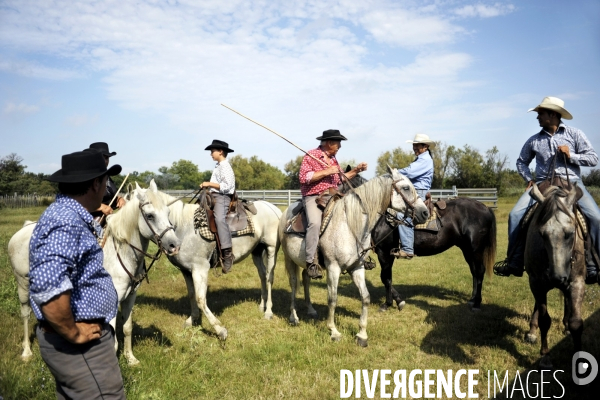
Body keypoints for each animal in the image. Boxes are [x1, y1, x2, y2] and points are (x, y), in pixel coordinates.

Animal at [7, 181, 180, 366]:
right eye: (150, 216)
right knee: (25, 314)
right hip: (22, 284)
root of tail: (23, 229)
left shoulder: (130, 297)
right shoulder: (111, 302)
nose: (174, 246)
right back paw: (26, 351)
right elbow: (113, 341)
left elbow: (127, 328)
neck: (121, 252)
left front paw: (131, 358)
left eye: (168, 212)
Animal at [157, 191, 284, 340]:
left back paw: (268, 312)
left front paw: (219, 330)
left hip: (271, 248)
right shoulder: (186, 270)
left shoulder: (200, 269)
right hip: (257, 251)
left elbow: (201, 299)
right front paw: (191, 320)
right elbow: (192, 295)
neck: (184, 227)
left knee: (270, 277)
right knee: (263, 275)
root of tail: (273, 207)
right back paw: (261, 306)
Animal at [278, 167, 428, 346]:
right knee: (294, 284)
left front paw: (362, 335)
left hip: (308, 262)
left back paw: (311, 309)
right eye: (406, 188)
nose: (425, 213)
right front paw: (334, 331)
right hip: (289, 259)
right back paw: (293, 317)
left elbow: (366, 297)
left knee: (306, 277)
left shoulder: (357, 267)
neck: (349, 224)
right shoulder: (333, 267)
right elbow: (332, 299)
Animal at [342, 170, 496, 310]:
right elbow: (387, 278)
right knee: (474, 271)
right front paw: (397, 301)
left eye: (339, 183)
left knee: (480, 271)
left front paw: (389, 303)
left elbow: (385, 278)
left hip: (476, 249)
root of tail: (485, 207)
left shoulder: (384, 252)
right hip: (467, 249)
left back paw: (477, 303)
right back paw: (472, 299)